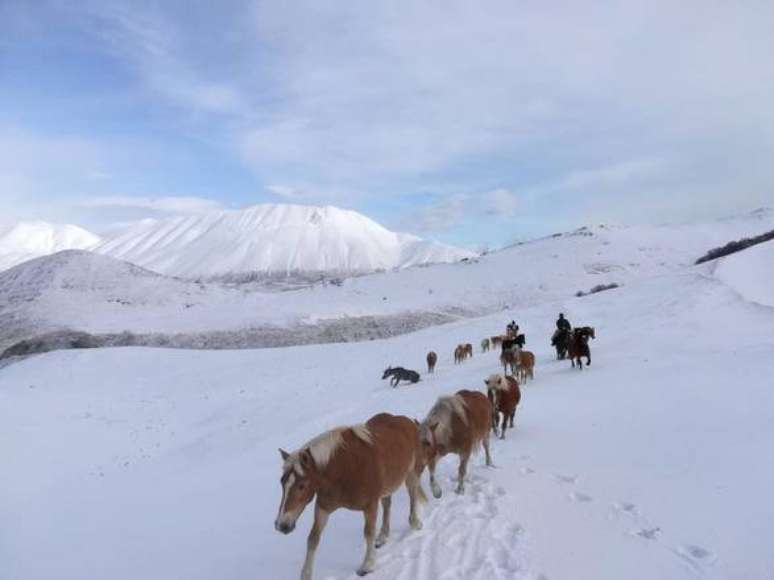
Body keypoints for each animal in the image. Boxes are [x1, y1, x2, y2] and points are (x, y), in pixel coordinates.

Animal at [276, 412, 428, 580]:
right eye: (282, 483)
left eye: (302, 486)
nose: (281, 525)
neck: (344, 469)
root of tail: (409, 421)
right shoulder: (323, 508)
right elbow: (313, 538)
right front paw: (306, 574)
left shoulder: (370, 506)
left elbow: (368, 533)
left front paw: (367, 565)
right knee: (387, 504)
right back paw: (383, 536)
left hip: (412, 474)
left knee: (412, 495)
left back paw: (415, 522)